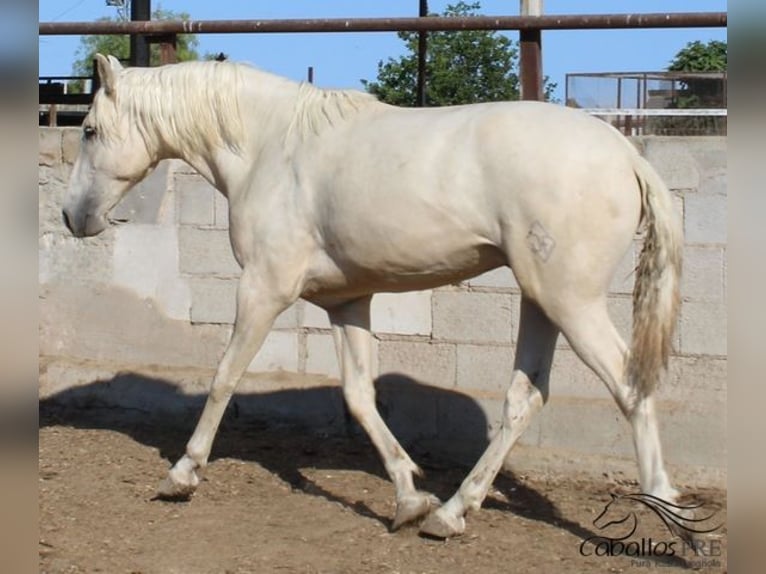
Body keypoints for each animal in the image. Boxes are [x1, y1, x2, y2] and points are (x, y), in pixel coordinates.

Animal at [61, 55, 684, 540]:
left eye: (88, 129)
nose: (72, 217)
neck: (270, 148)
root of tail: (627, 155)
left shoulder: (264, 288)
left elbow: (224, 377)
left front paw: (181, 474)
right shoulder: (347, 303)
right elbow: (360, 397)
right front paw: (409, 500)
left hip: (571, 303)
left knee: (629, 385)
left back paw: (670, 513)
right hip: (542, 302)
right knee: (523, 399)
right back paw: (451, 513)